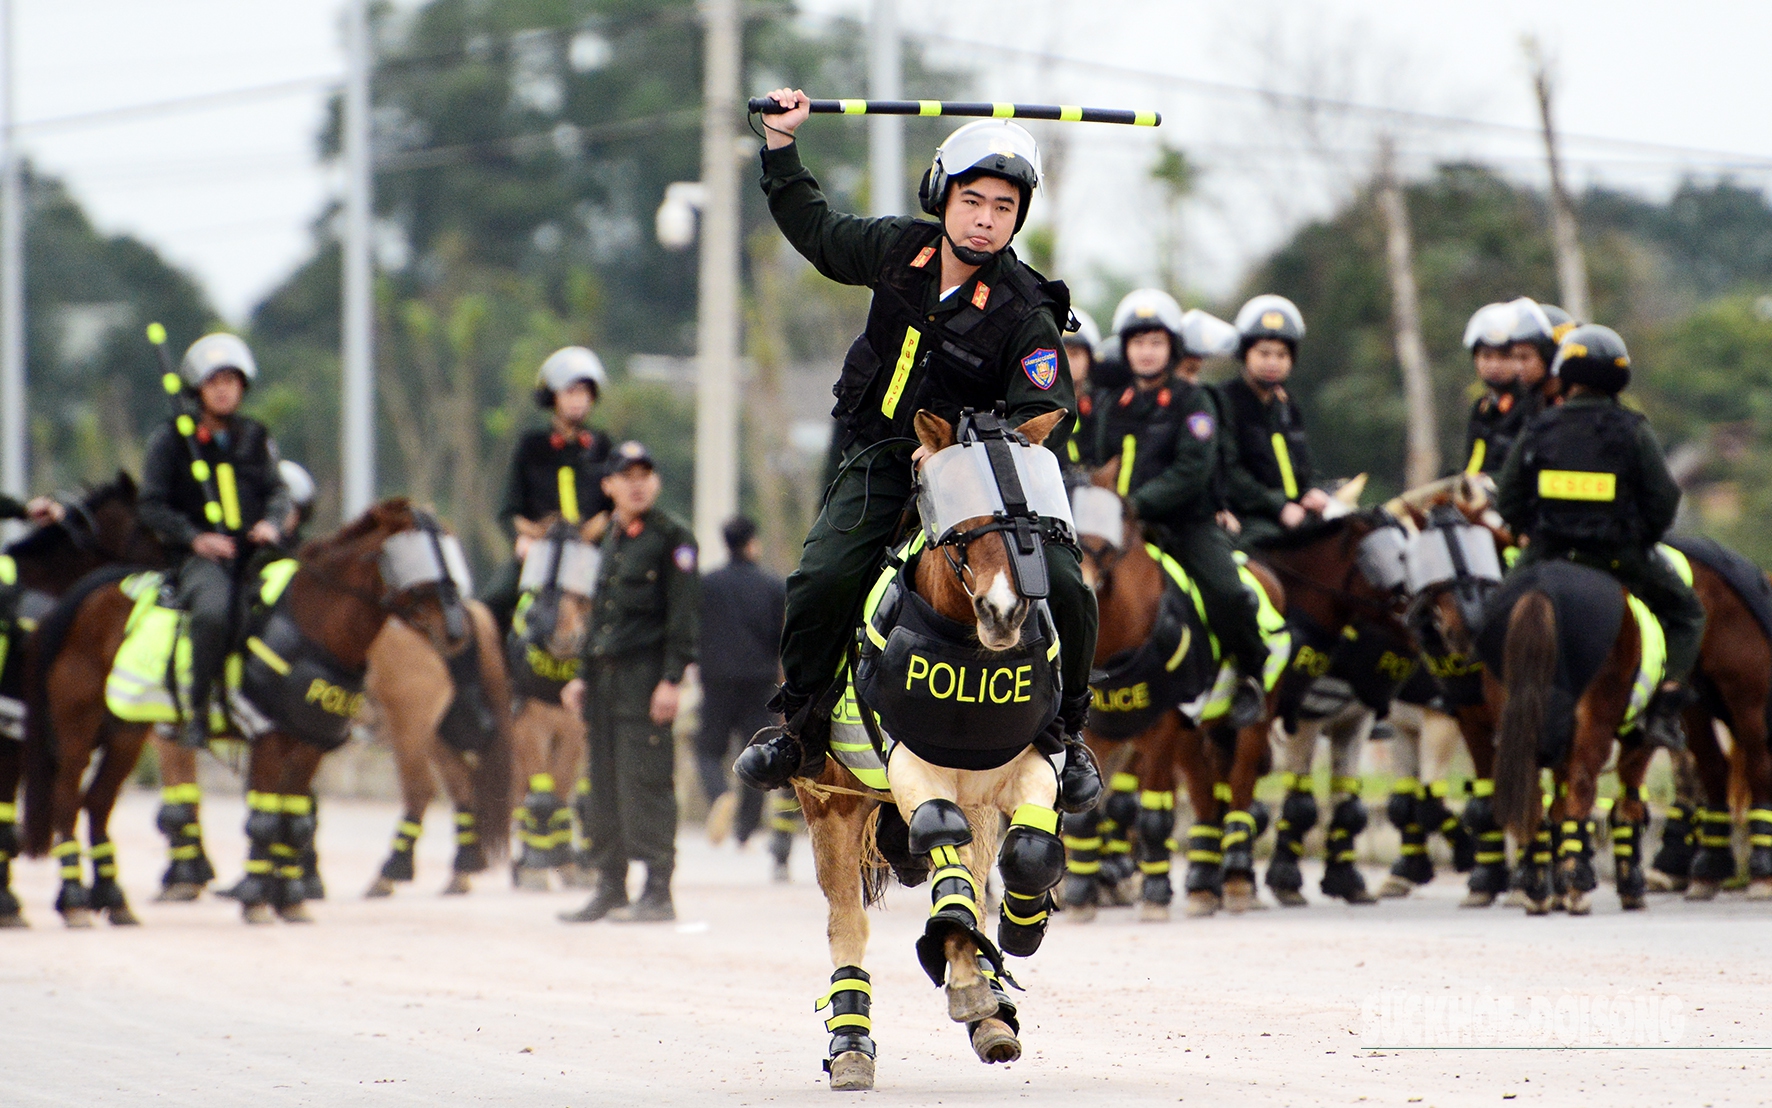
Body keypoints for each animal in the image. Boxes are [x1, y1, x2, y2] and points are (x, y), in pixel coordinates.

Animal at [24, 499, 435, 921]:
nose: (450, 624)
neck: (314, 621)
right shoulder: (265, 737)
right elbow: (250, 815)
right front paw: (246, 890)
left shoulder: (299, 740)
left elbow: (284, 818)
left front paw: (275, 894)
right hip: (81, 730)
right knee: (69, 802)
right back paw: (78, 898)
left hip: (122, 734)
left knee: (93, 803)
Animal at [503, 514, 606, 886]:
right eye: (536, 586)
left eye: (586, 571)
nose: (563, 638)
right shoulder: (528, 729)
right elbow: (539, 789)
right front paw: (536, 865)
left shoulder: (574, 731)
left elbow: (563, 787)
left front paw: (569, 864)